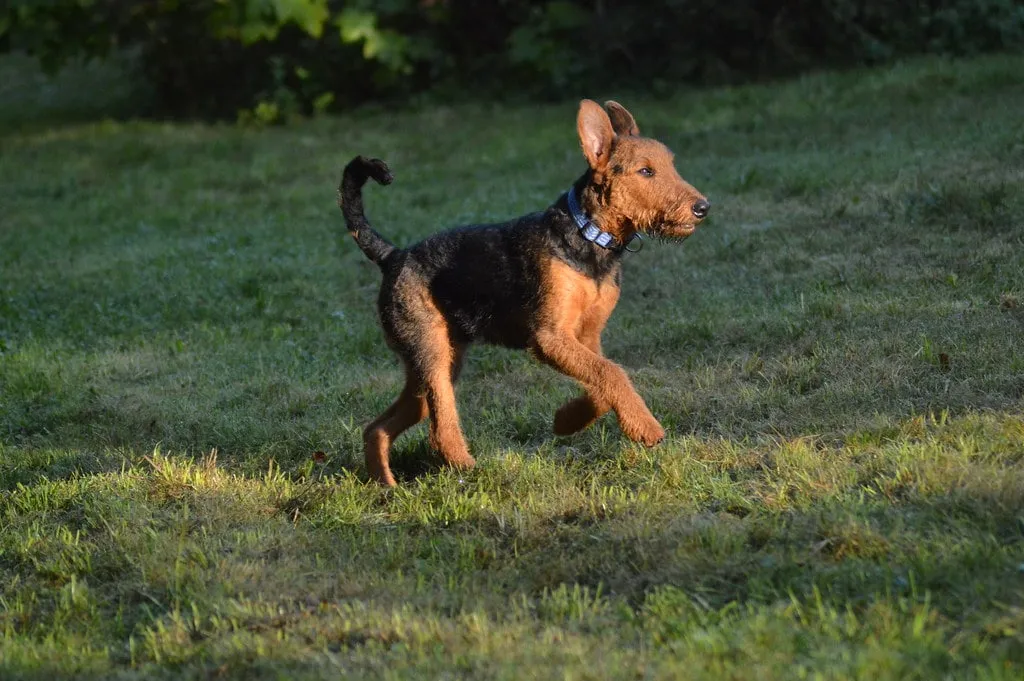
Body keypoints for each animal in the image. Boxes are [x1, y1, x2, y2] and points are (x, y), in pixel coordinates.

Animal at [339, 99, 708, 483]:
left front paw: (566, 421)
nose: (703, 207)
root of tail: (393, 255)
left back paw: (387, 486)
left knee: (378, 428)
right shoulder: (549, 337)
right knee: (439, 430)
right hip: (433, 356)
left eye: (670, 165)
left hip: (429, 367)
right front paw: (645, 428)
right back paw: (466, 466)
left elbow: (602, 383)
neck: (588, 236)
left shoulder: (587, 337)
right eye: (646, 171)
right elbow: (612, 373)